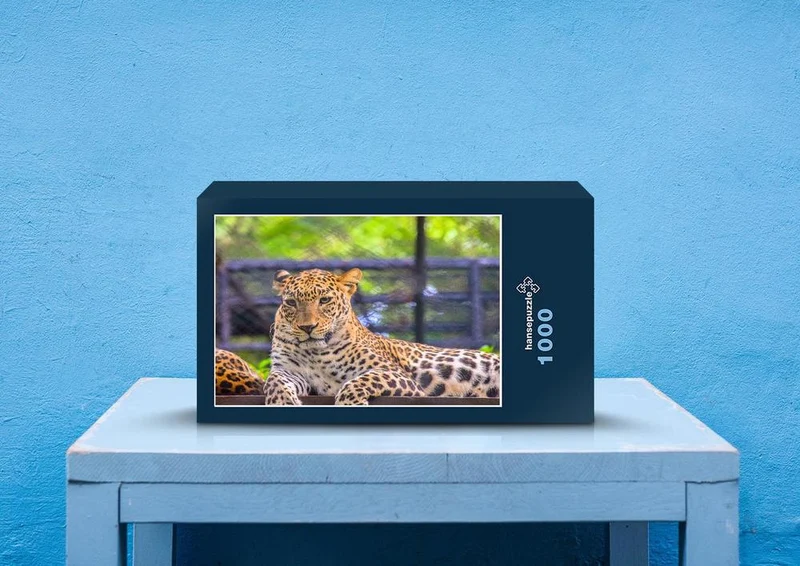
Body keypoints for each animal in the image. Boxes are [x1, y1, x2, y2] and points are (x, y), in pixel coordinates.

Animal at [263, 267, 500, 405]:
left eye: (324, 300)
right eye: (291, 302)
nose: (307, 327)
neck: (316, 352)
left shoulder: (399, 376)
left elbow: (361, 380)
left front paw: (349, 404)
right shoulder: (290, 370)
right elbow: (274, 381)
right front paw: (282, 402)